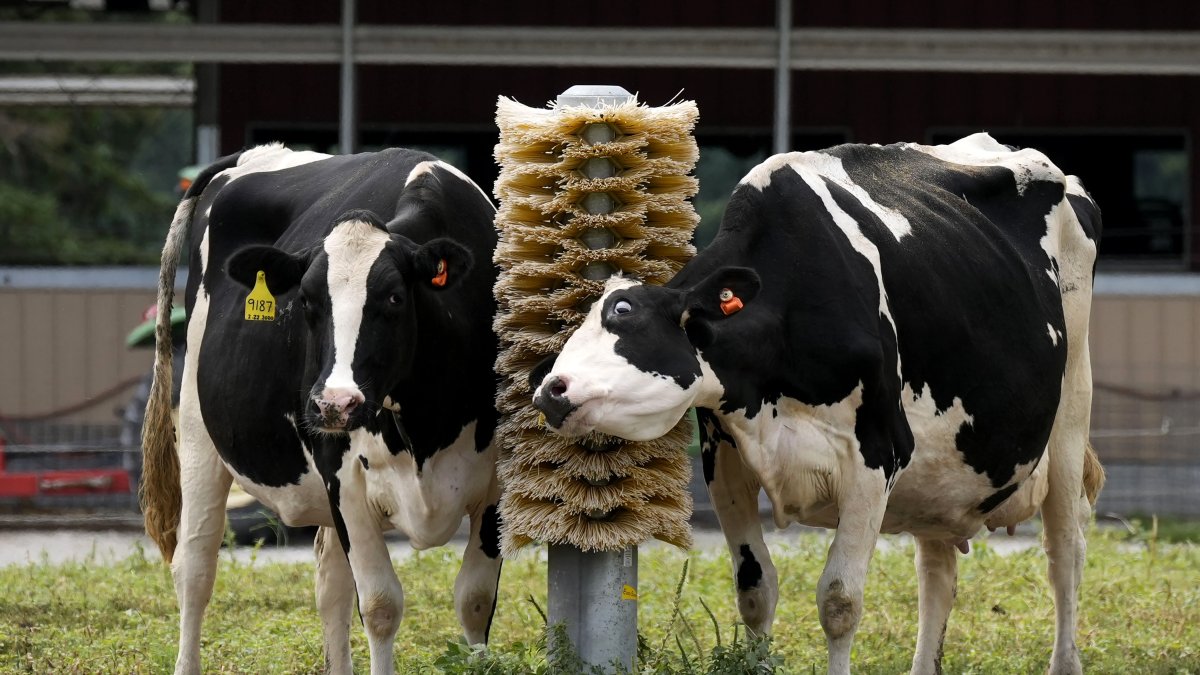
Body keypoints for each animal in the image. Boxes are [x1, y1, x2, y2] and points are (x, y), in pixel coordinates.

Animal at [142, 145, 504, 672]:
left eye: (394, 298)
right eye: (308, 302)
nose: (335, 403)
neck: (426, 425)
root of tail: (258, 153)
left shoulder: (499, 485)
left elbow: (474, 599)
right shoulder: (346, 481)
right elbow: (381, 605)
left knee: (330, 586)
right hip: (195, 429)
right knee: (195, 567)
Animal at [535, 132, 1104, 672]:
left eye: (624, 314)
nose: (549, 389)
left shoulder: (878, 453)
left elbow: (840, 601)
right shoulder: (724, 457)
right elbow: (755, 591)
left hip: (1071, 407)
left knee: (1066, 550)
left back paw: (1066, 660)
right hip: (941, 470)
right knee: (937, 572)